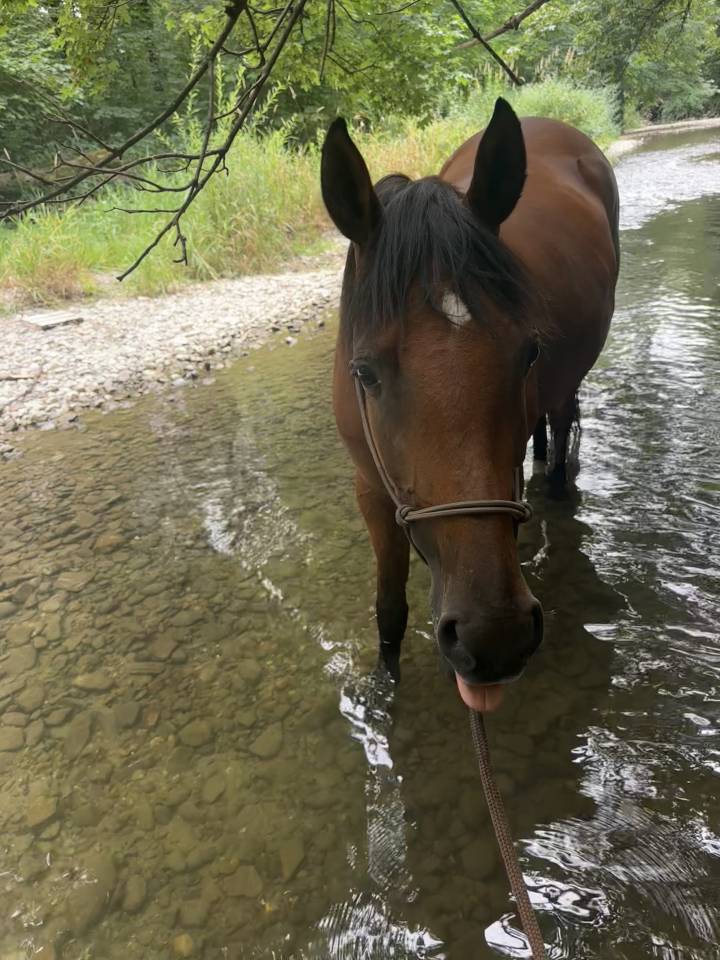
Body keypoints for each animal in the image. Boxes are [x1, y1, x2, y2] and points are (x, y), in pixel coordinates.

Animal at [320, 98, 620, 713]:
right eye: (364, 373)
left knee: (559, 431)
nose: (494, 636)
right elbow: (390, 608)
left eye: (528, 352)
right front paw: (384, 697)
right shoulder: (370, 488)